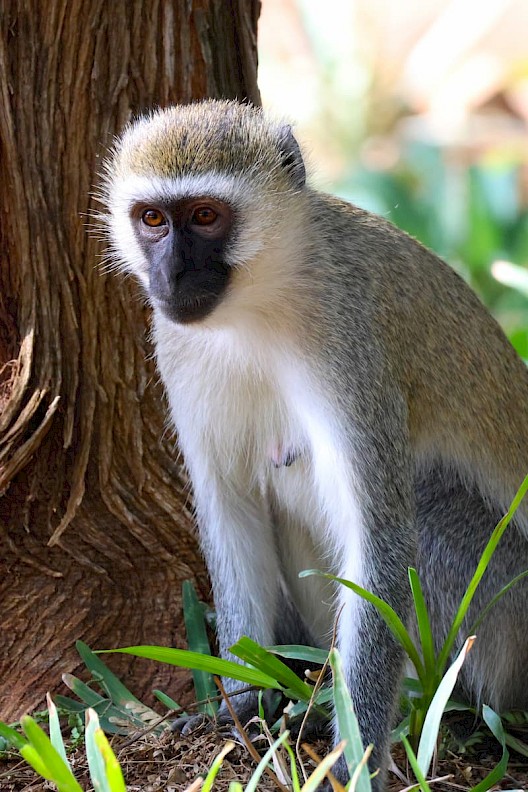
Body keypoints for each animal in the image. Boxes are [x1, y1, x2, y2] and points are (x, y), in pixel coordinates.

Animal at [103, 99, 528, 784]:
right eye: (152, 220)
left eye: (205, 216)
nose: (170, 273)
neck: (258, 302)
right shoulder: (174, 343)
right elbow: (232, 511)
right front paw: (244, 700)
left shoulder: (350, 340)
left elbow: (381, 539)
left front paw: (357, 755)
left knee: (426, 510)